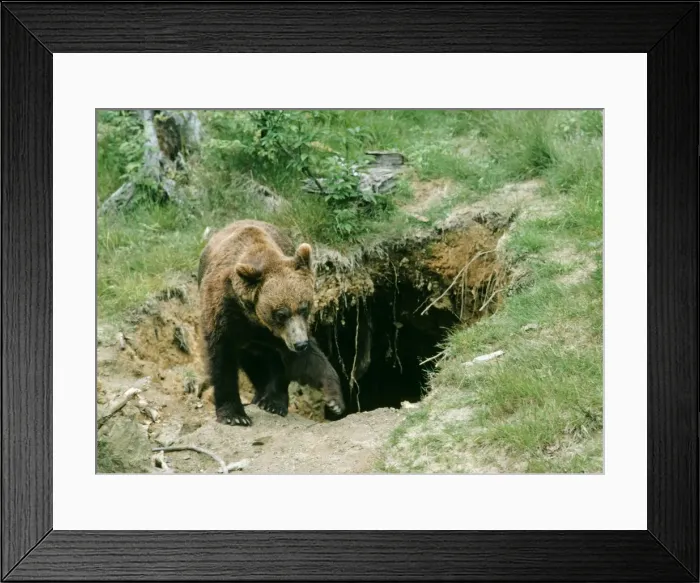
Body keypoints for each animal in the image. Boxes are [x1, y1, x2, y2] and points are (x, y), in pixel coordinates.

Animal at [197, 219, 345, 426]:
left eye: (304, 307)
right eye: (281, 314)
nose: (300, 344)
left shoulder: (282, 333)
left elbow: (305, 360)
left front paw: (334, 400)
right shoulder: (224, 313)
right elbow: (222, 358)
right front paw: (235, 415)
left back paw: (272, 401)